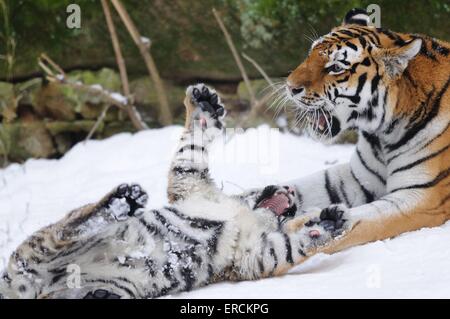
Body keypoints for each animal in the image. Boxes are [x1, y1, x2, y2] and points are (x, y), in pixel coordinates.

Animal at [241, 8, 448, 255]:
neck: (383, 135)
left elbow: (367, 218)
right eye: (310, 54)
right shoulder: (356, 177)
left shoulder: (423, 195)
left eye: (336, 68)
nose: (290, 87)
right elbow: (306, 185)